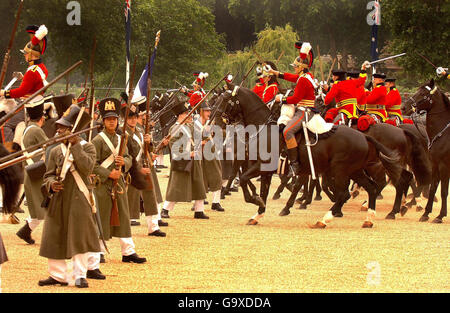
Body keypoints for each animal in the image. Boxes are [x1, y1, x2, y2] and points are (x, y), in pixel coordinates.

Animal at [406, 79, 448, 223]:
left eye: (423, 93)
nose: (403, 107)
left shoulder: (444, 166)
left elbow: (443, 191)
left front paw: (440, 216)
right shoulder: (435, 165)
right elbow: (433, 187)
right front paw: (426, 213)